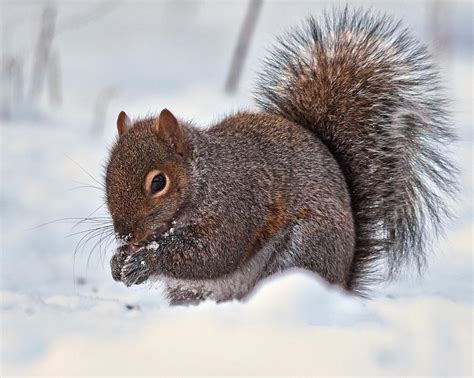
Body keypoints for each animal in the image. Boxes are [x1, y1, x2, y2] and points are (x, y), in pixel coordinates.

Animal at [104, 7, 456, 306]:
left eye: (158, 182)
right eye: (107, 179)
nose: (125, 235)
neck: (204, 178)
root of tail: (340, 284)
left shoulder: (236, 205)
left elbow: (214, 253)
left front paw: (146, 260)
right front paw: (118, 260)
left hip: (302, 250)